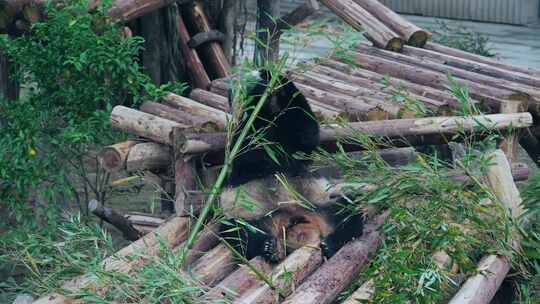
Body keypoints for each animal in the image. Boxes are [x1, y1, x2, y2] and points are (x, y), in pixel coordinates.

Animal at [218, 69, 362, 264]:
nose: (258, 76)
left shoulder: (293, 143)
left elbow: (305, 134)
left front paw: (276, 79)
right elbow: (248, 153)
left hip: (321, 203)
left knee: (349, 210)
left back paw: (332, 243)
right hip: (249, 215)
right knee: (238, 233)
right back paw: (268, 247)